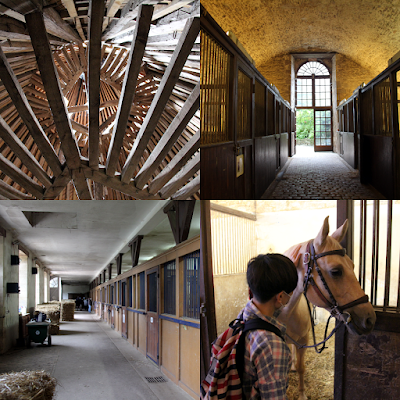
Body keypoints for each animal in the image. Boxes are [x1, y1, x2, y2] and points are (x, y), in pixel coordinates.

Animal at [278, 217, 376, 398]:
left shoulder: (303, 340)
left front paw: (302, 395)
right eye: (336, 271)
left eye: (353, 265)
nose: (370, 319)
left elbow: (301, 368)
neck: (284, 314)